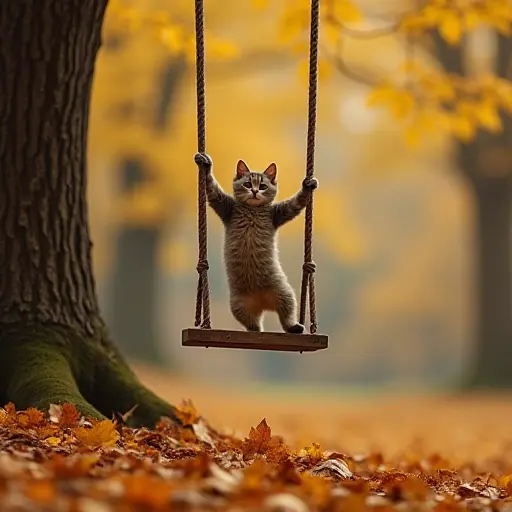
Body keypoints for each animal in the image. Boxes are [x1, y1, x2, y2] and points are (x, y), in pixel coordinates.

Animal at [194, 152, 318, 334]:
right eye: (247, 184)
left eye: (263, 186)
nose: (254, 191)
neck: (252, 210)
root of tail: (262, 302)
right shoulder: (225, 205)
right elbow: (211, 188)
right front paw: (205, 164)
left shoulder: (278, 213)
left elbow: (296, 203)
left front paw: (308, 186)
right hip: (239, 305)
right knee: (254, 325)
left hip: (285, 293)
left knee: (286, 318)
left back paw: (294, 326)